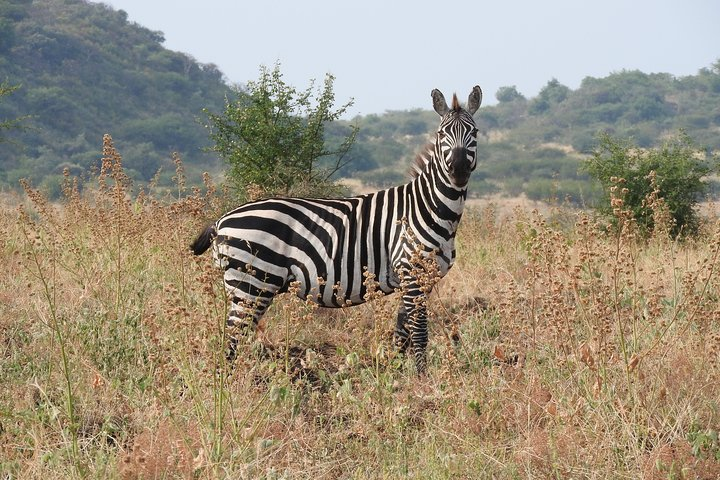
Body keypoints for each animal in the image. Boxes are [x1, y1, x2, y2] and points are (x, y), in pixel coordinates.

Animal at [193, 85, 484, 372]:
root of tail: (221, 220)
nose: (458, 170)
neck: (427, 208)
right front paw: (421, 378)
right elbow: (419, 332)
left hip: (248, 286)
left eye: (475, 132)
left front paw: (399, 374)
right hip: (251, 283)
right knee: (232, 341)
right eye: (441, 134)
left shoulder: (418, 280)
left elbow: (402, 333)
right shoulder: (412, 273)